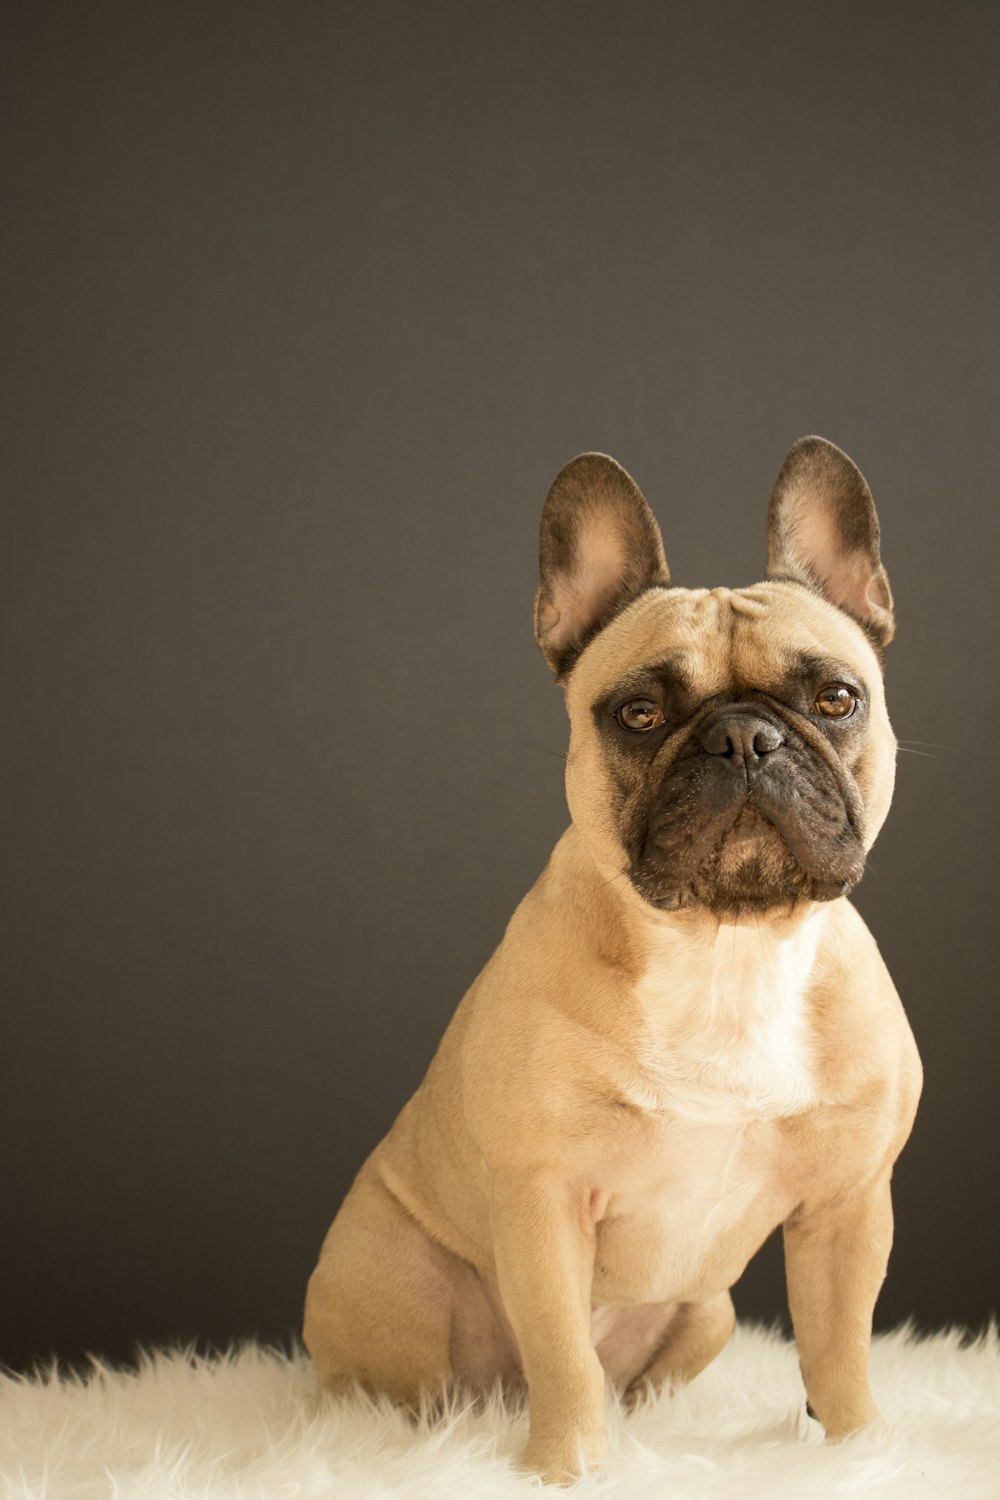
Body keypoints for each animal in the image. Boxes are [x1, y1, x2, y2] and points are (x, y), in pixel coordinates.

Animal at [302, 438, 923, 1482]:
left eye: (837, 699)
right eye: (637, 713)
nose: (745, 737)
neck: (724, 945)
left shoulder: (848, 1206)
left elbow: (839, 1345)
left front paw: (858, 1450)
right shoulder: (544, 1204)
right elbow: (560, 1353)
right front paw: (570, 1470)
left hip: (708, 1312)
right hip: (390, 1285)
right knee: (413, 1389)